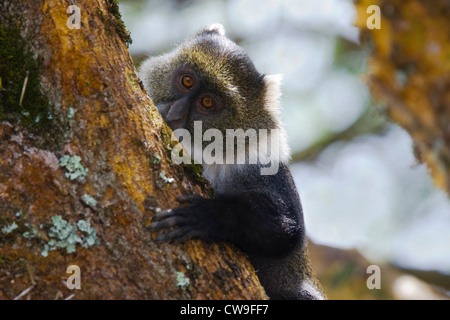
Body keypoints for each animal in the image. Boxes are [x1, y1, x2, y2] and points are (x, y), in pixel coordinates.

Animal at [140, 23, 324, 300]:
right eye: (187, 81)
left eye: (207, 102)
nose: (174, 113)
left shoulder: (262, 168)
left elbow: (287, 230)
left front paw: (205, 216)